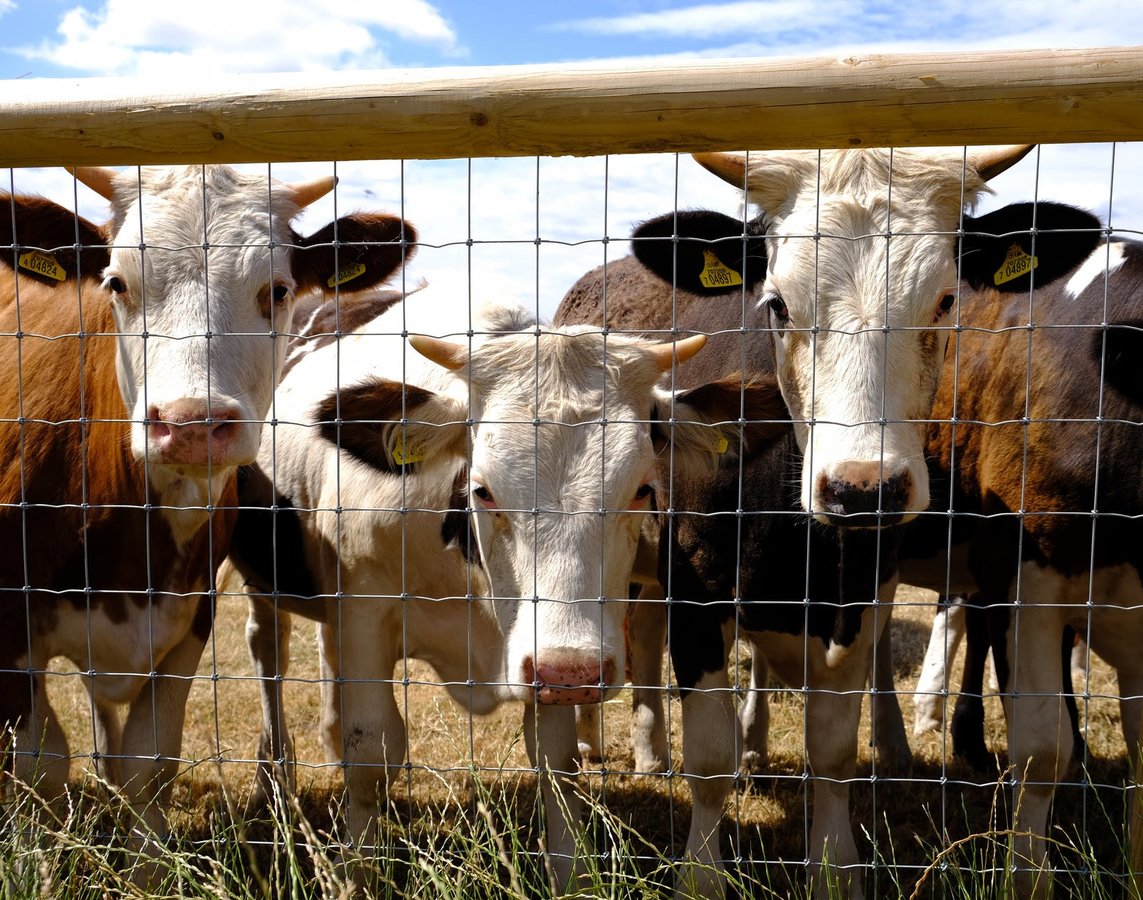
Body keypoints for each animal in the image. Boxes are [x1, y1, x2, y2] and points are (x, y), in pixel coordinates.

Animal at [0, 170, 411, 864]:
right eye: (117, 282)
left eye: (277, 290)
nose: (192, 423)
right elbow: (37, 766)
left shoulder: (189, 617)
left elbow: (149, 764)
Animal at [225, 284, 795, 891]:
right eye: (483, 488)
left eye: (643, 488)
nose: (575, 672)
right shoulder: (365, 610)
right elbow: (373, 753)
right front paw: (357, 872)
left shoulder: (541, 653)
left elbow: (556, 759)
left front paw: (571, 874)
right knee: (268, 649)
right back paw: (274, 770)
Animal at [557, 144, 1101, 896]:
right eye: (777, 303)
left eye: (945, 299)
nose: (859, 488)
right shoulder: (694, 584)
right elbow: (708, 758)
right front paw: (701, 874)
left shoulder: (862, 590)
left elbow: (834, 749)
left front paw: (833, 867)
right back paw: (605, 744)